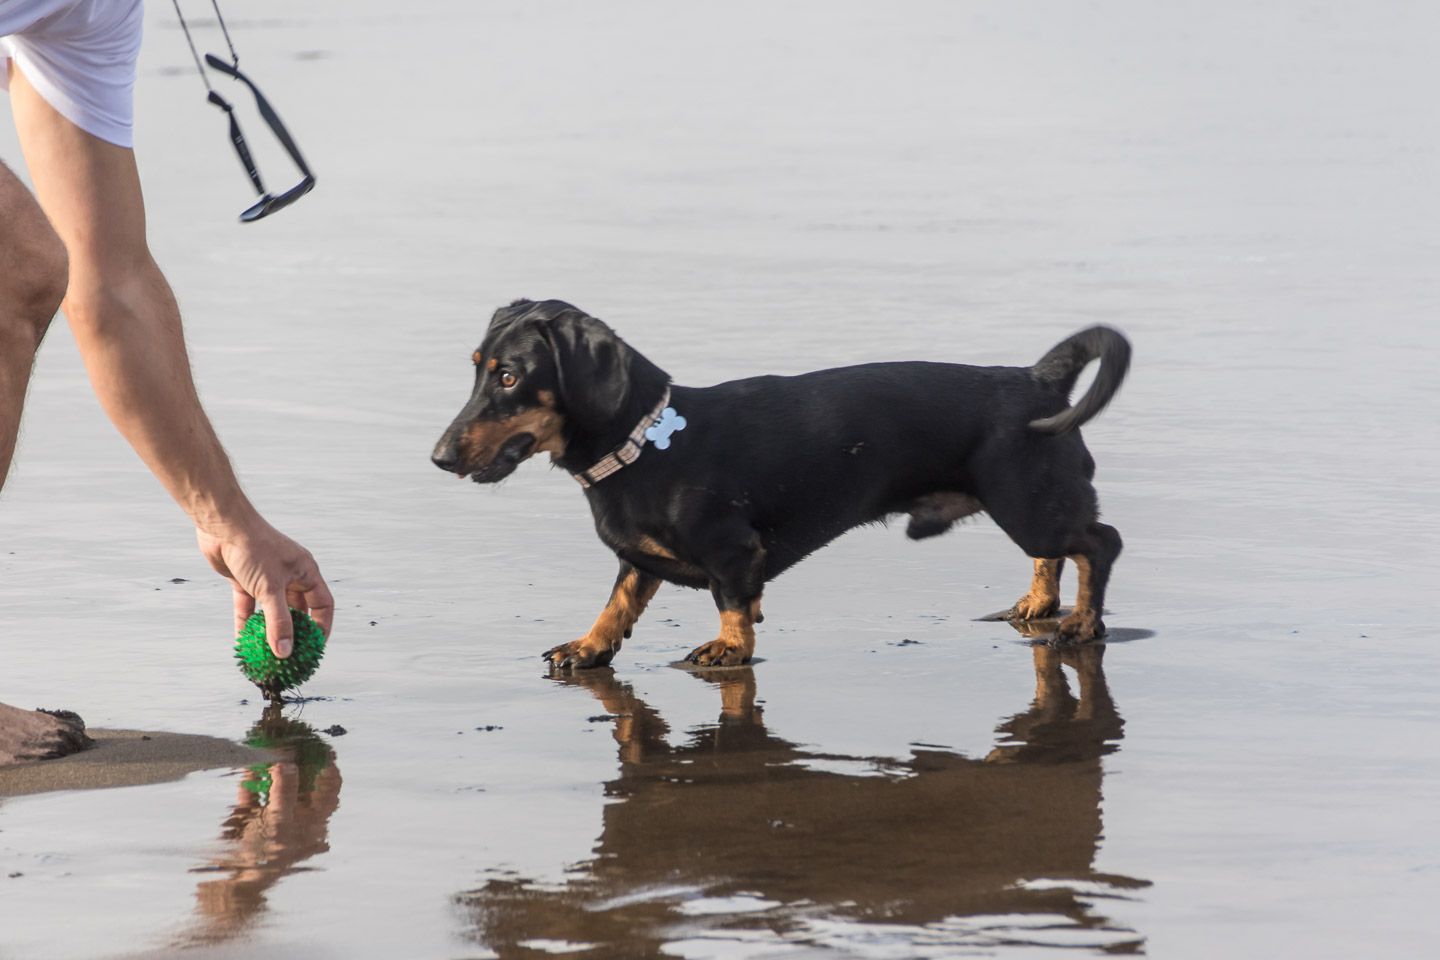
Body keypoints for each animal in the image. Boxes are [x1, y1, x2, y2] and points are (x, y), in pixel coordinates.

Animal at [432, 300, 1128, 667]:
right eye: (477, 368)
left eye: (511, 377)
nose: (438, 458)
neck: (648, 442)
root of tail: (1039, 379)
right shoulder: (637, 561)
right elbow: (619, 601)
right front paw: (588, 645)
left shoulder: (734, 552)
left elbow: (733, 606)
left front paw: (726, 647)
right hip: (1032, 508)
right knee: (1055, 554)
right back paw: (1038, 604)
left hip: (1027, 504)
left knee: (1100, 543)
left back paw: (1080, 624)